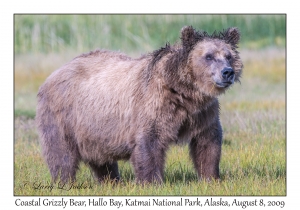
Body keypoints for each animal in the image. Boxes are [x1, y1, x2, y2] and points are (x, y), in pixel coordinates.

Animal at [36, 26, 244, 184]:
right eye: (209, 56)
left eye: (228, 56)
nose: (227, 72)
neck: (185, 92)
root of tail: (53, 74)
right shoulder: (154, 106)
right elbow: (149, 143)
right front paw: (152, 182)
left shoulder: (202, 113)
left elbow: (207, 142)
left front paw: (211, 178)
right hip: (64, 115)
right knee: (61, 153)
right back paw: (64, 181)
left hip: (94, 128)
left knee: (100, 158)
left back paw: (111, 180)